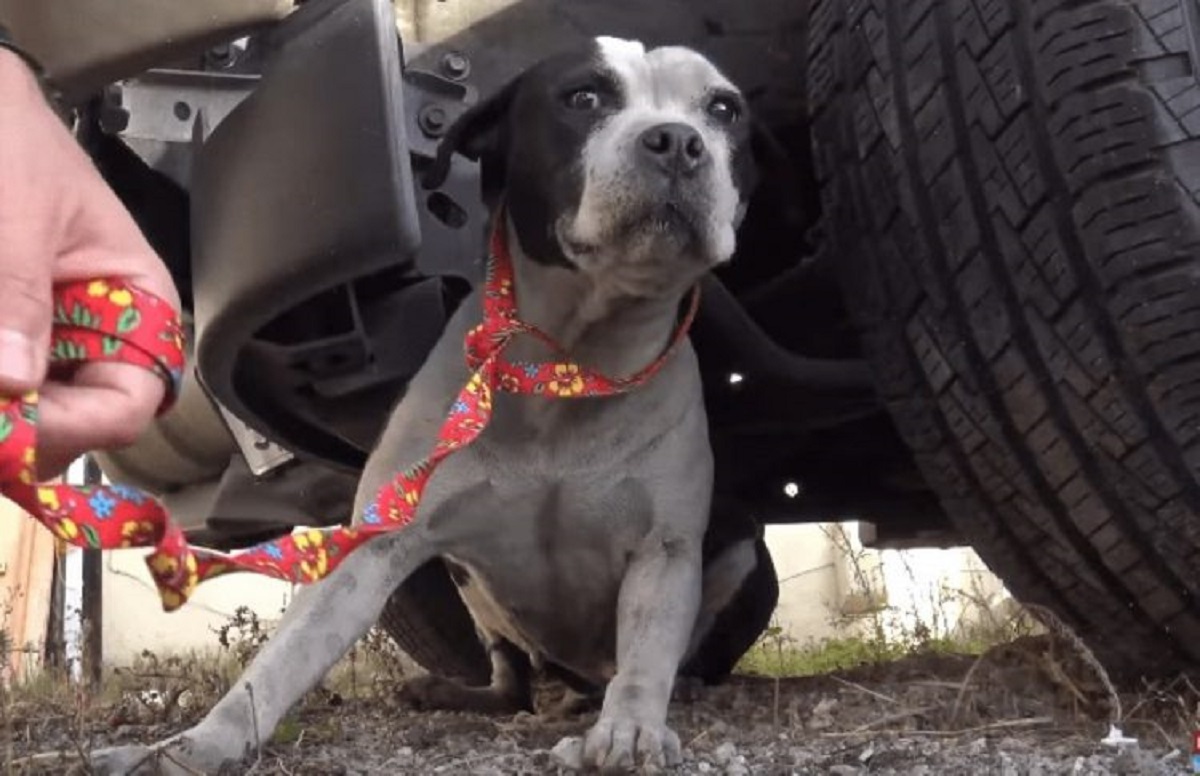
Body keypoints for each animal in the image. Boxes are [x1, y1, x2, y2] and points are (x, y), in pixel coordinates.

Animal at [93, 33, 763, 772]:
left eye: (723, 110)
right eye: (583, 97)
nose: (677, 141)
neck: (569, 362)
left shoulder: (662, 551)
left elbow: (646, 656)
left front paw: (632, 728)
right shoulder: (381, 541)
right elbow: (285, 658)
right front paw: (199, 741)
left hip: (739, 555)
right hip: (470, 584)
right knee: (510, 679)